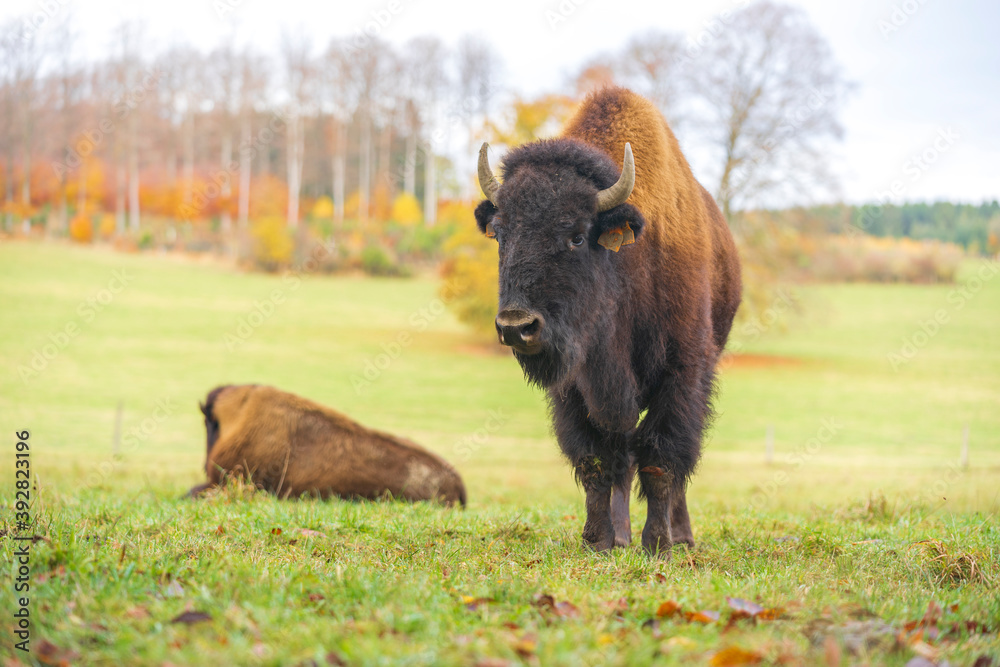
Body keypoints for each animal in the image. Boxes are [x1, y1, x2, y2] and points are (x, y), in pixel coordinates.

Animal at [476, 88, 744, 560]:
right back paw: (621, 535)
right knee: (621, 457)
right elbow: (598, 461)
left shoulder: (682, 374)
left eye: (577, 236)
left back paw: (681, 536)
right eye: (501, 234)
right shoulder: (576, 387)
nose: (515, 326)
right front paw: (599, 540)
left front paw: (658, 544)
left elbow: (661, 459)